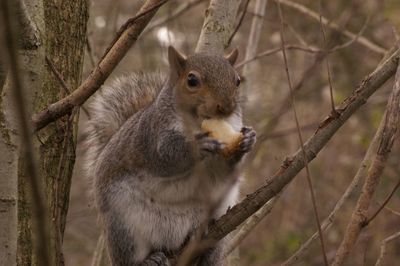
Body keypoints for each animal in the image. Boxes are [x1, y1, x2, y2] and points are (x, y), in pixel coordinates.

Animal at [84, 46, 256, 264]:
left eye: (237, 80)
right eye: (192, 80)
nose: (226, 107)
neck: (196, 122)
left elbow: (223, 171)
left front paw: (247, 140)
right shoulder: (151, 136)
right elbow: (165, 158)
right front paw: (197, 146)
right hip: (123, 227)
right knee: (129, 256)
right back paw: (149, 260)